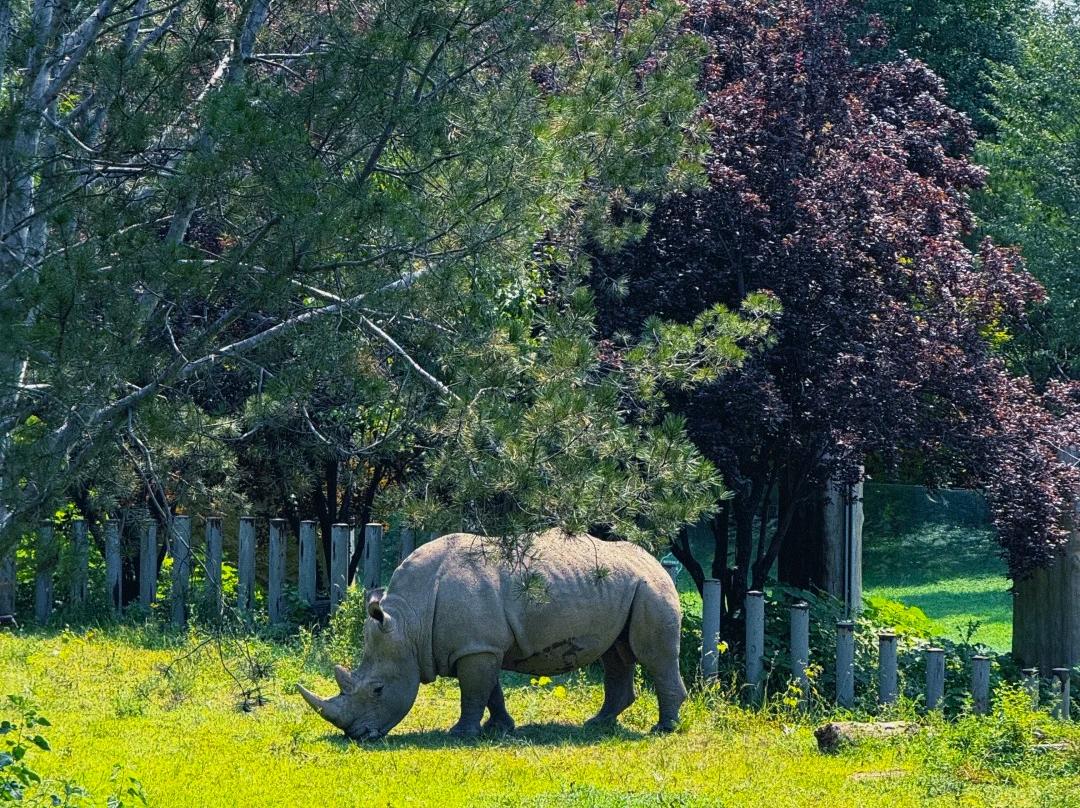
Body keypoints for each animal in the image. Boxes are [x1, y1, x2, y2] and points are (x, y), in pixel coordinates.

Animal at [298, 529, 686, 740]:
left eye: (378, 690)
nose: (357, 736)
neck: (409, 623)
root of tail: (656, 561)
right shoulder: (481, 645)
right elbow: (490, 691)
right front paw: (500, 728)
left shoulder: (476, 647)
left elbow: (473, 692)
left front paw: (461, 734)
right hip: (626, 586)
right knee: (615, 654)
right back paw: (597, 725)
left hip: (652, 587)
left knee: (653, 656)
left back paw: (663, 729)